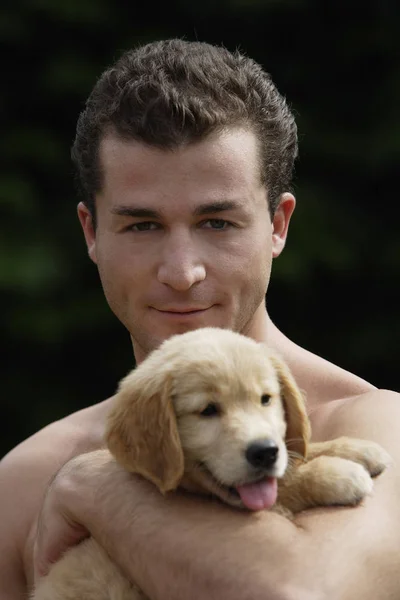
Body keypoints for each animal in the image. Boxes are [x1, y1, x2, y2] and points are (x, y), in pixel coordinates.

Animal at [33, 328, 390, 600]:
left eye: (266, 399)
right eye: (207, 410)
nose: (264, 452)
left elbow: (295, 456)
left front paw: (357, 449)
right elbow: (286, 483)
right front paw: (338, 474)